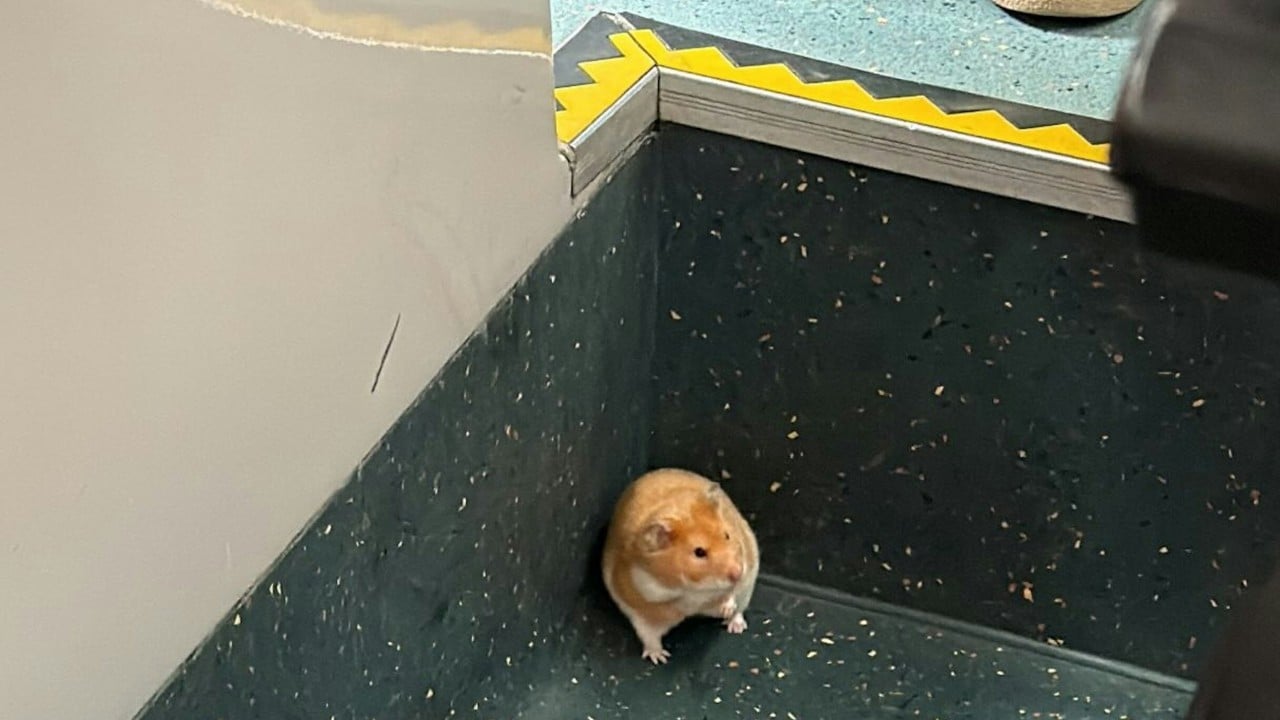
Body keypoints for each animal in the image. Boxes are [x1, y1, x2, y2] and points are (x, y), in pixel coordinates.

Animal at [601, 467, 760, 664]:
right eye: (699, 552)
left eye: (727, 535)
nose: (738, 573)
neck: (695, 587)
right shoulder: (639, 596)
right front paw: (661, 657)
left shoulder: (744, 569)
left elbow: (730, 593)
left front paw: (725, 608)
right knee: (650, 637)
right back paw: (659, 657)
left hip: (748, 586)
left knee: (740, 608)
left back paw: (734, 625)